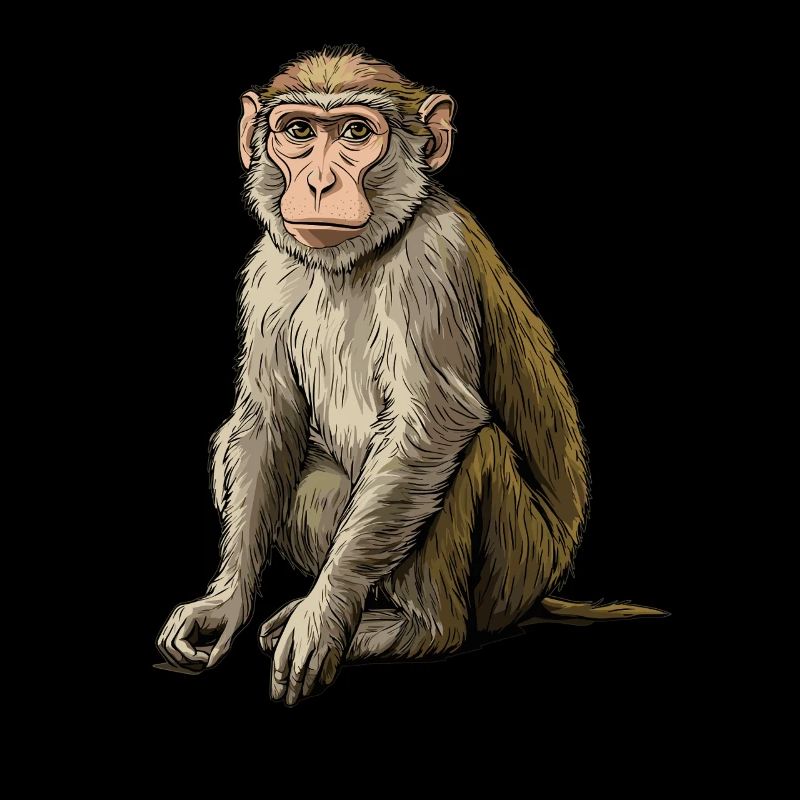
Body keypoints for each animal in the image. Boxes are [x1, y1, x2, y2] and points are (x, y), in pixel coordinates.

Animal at [157, 45, 666, 705]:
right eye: (299, 132)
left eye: (355, 133)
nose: (317, 182)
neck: (357, 255)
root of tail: (540, 589)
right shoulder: (266, 268)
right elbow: (266, 423)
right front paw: (225, 604)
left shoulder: (434, 258)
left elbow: (433, 425)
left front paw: (323, 617)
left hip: (514, 570)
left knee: (471, 449)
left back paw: (419, 629)